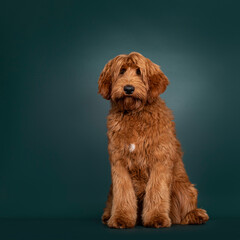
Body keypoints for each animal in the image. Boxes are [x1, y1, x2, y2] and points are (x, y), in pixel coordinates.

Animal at [97, 52, 208, 229]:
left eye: (139, 71)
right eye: (121, 71)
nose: (128, 88)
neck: (134, 114)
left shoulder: (159, 160)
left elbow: (156, 191)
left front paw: (156, 218)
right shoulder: (119, 163)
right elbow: (123, 194)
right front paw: (121, 218)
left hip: (182, 187)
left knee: (185, 208)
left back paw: (195, 215)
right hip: (111, 190)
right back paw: (108, 215)